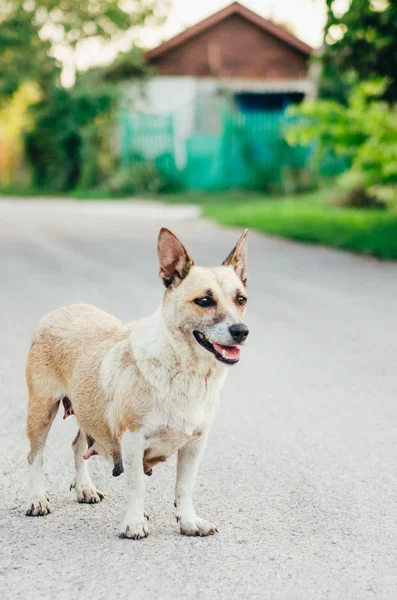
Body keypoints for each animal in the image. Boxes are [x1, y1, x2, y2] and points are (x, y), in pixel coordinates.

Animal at [24, 229, 248, 540]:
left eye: (241, 299)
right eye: (204, 301)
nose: (241, 332)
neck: (187, 371)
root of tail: (61, 310)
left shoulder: (195, 443)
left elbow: (185, 487)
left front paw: (189, 521)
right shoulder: (132, 439)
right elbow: (137, 486)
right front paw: (134, 523)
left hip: (87, 410)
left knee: (77, 445)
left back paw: (85, 488)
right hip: (41, 410)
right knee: (35, 456)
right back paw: (36, 498)